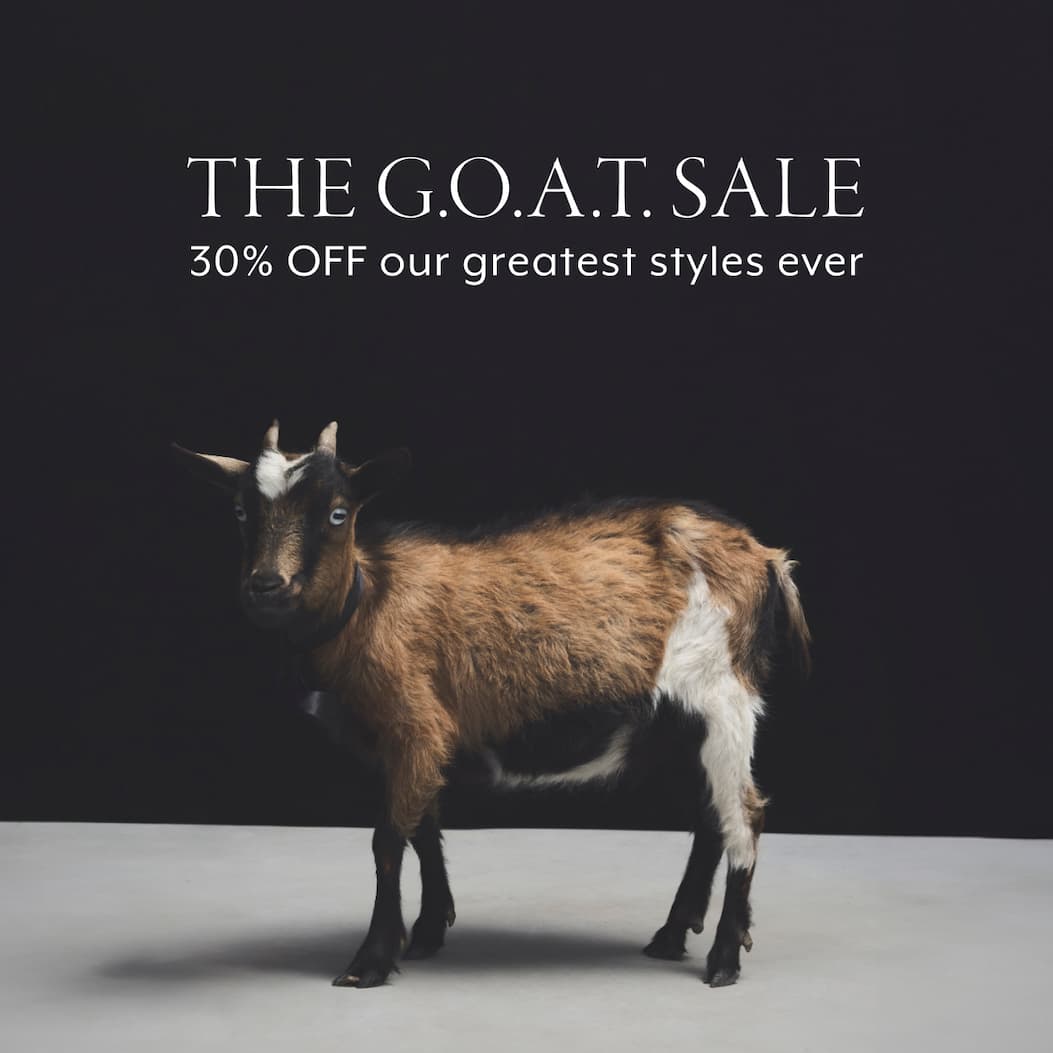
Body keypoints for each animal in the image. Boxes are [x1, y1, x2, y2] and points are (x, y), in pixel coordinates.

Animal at [172, 420, 810, 989]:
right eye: (240, 512)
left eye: (336, 513)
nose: (266, 585)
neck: (369, 602)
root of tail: (766, 556)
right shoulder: (413, 745)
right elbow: (425, 830)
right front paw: (429, 931)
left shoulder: (416, 725)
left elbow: (388, 841)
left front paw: (371, 961)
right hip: (677, 726)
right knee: (709, 818)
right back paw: (673, 935)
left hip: (723, 697)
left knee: (745, 817)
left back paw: (723, 959)